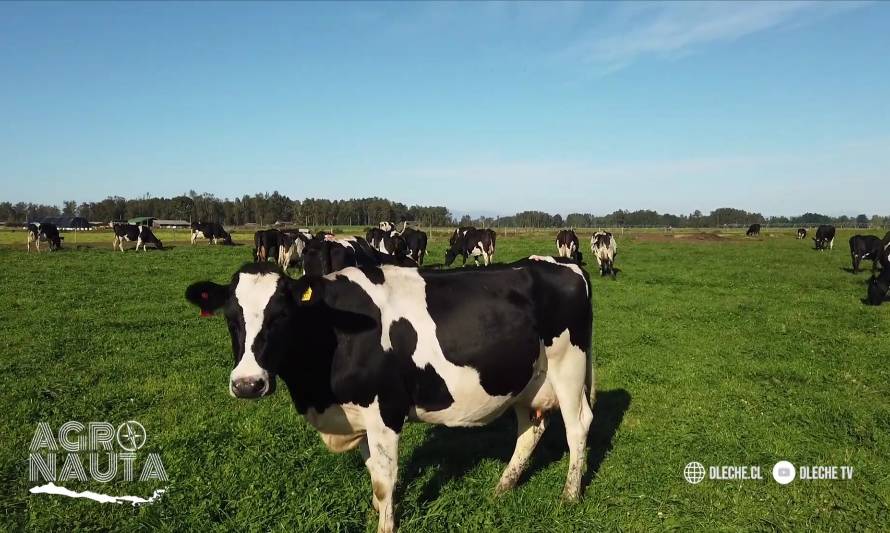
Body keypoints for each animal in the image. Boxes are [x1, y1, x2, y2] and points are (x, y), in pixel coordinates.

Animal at [185, 256, 592, 528]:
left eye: (281, 315)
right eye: (230, 317)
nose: (247, 384)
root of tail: (562, 262)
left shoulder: (385, 413)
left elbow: (384, 481)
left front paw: (385, 524)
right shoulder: (361, 417)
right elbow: (372, 474)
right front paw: (375, 514)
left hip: (568, 367)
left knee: (578, 426)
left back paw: (570, 496)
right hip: (525, 380)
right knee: (531, 429)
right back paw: (502, 488)